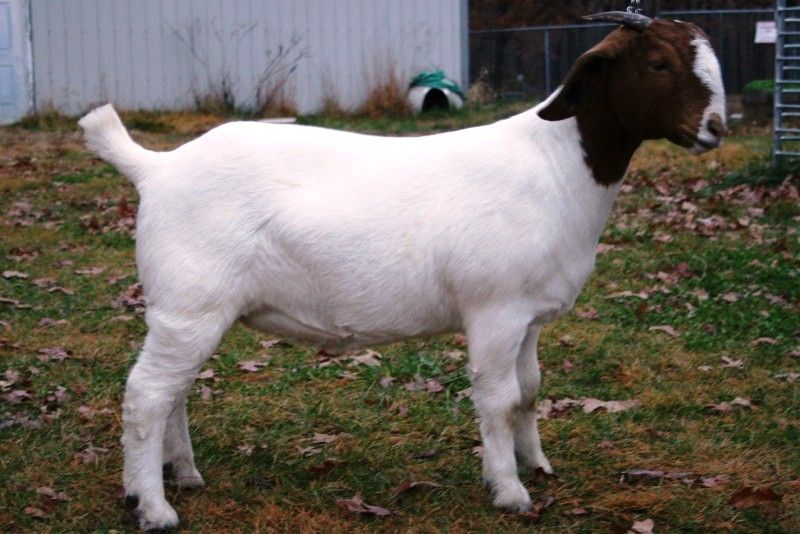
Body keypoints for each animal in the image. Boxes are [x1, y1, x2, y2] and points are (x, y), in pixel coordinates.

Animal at [79, 11, 725, 530]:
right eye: (658, 64)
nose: (716, 129)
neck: (557, 164)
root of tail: (157, 169)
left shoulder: (530, 317)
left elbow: (530, 392)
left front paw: (537, 465)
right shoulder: (494, 311)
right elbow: (497, 399)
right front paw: (509, 491)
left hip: (189, 309)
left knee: (173, 391)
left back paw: (183, 474)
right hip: (190, 300)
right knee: (146, 395)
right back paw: (152, 506)